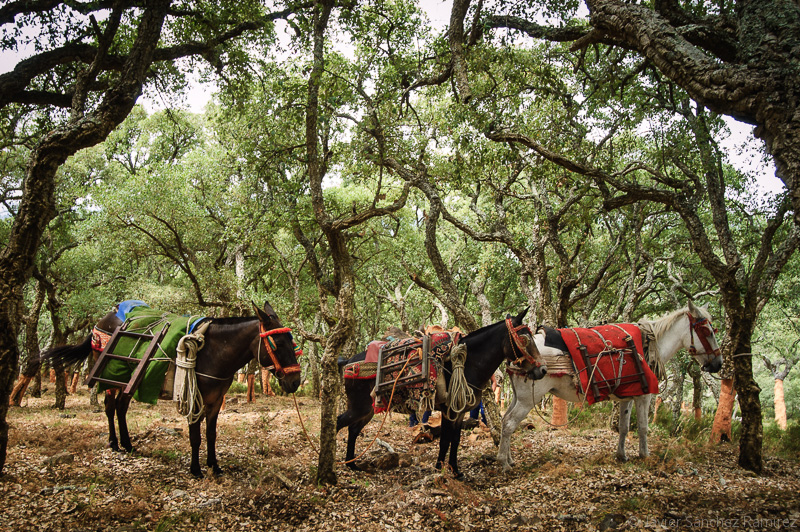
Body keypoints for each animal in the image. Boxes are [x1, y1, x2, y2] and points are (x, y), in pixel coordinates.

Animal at [496, 302, 720, 472]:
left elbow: (623, 427)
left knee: (505, 420)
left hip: (518, 397)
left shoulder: (628, 396)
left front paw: (622, 455)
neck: (648, 346)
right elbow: (643, 427)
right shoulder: (644, 395)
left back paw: (509, 459)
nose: (718, 364)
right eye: (707, 331)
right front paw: (644, 456)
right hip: (528, 400)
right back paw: (503, 463)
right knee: (509, 424)